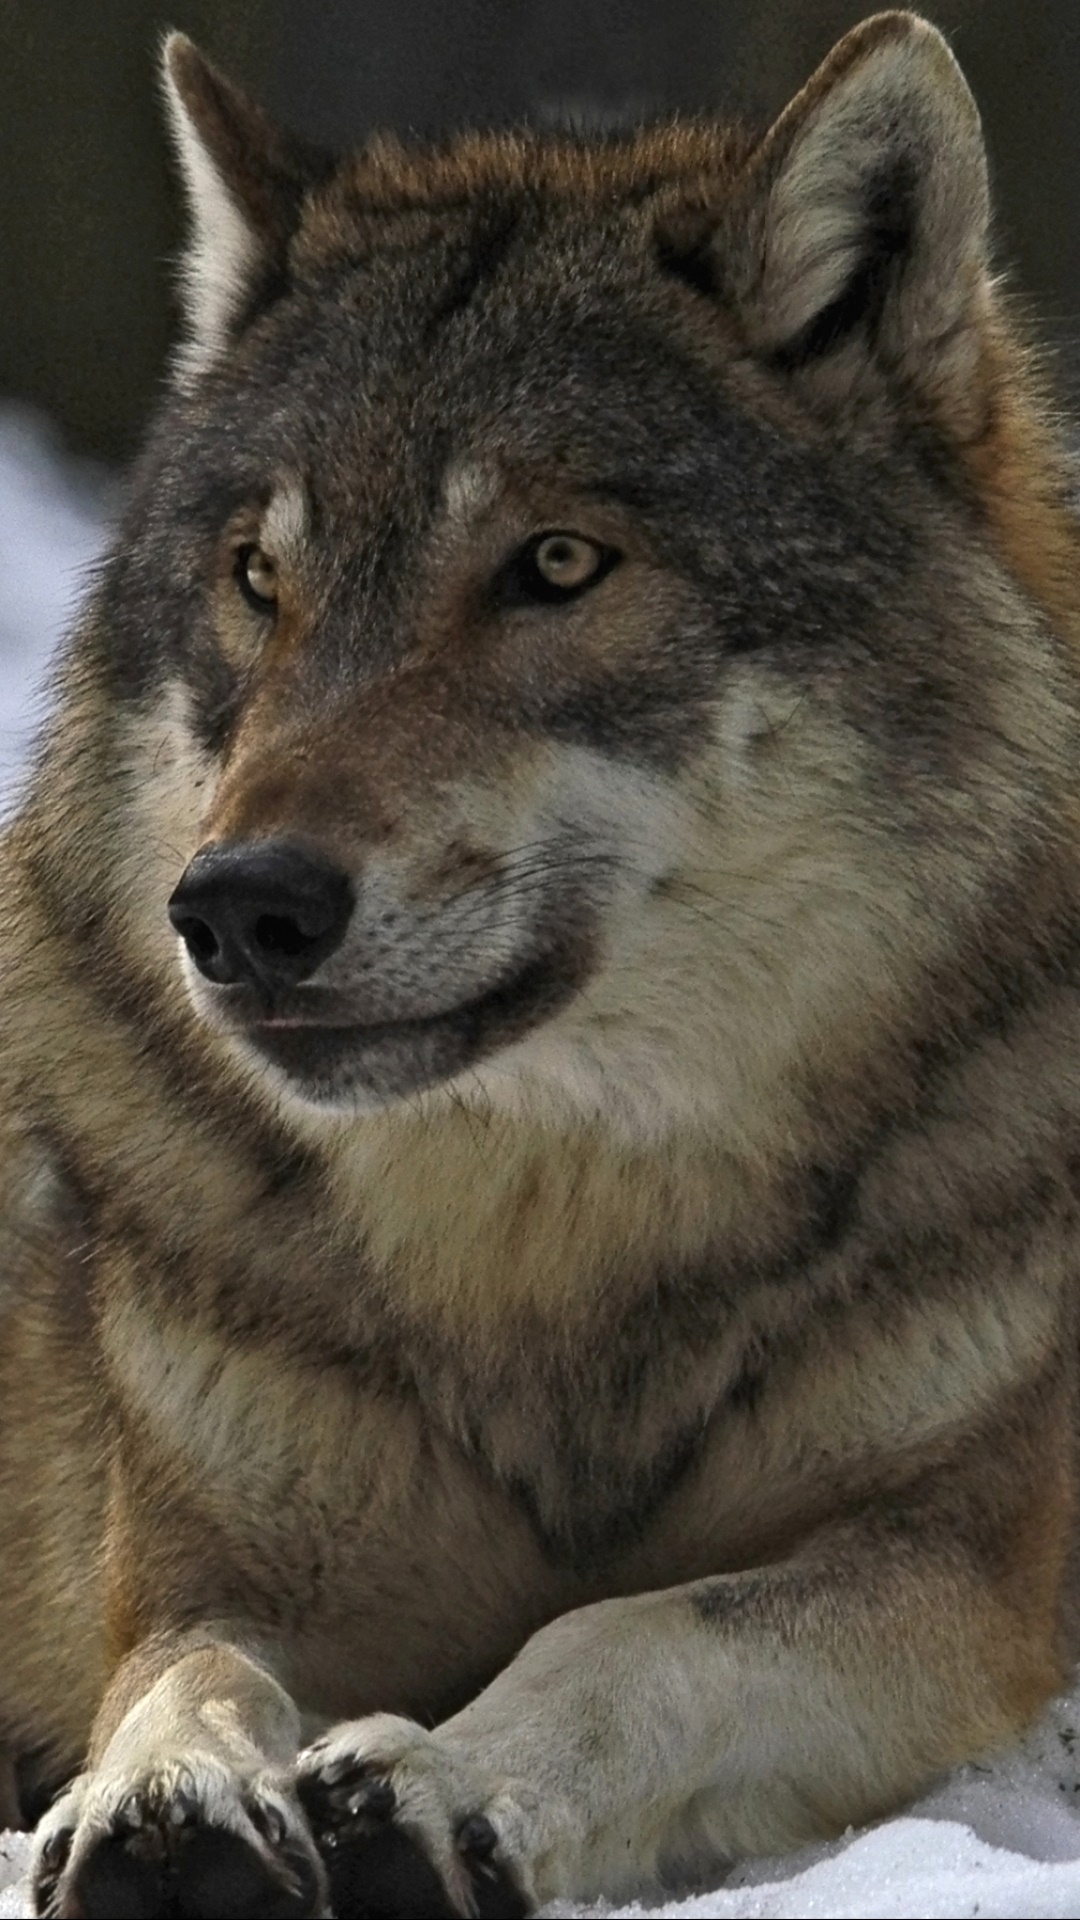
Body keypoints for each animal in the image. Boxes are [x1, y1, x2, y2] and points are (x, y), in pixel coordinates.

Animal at [3, 9, 1080, 1916]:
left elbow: (638, 1633)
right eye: (259, 577)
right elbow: (190, 1672)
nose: (239, 906)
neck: (553, 1271)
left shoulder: (965, 1568)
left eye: (558, 564)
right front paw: (172, 1800)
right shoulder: (207, 1560)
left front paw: (441, 1785)